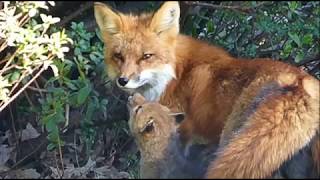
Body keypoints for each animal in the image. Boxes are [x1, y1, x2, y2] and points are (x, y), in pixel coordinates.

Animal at [94, 1, 320, 179]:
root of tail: (299, 80)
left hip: (231, 140)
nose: (123, 81)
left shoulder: (181, 136)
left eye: (146, 56)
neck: (177, 74)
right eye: (119, 57)